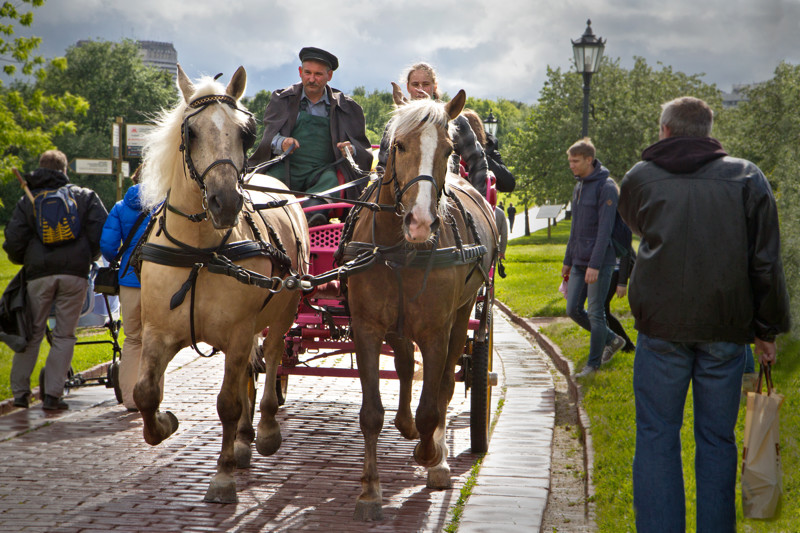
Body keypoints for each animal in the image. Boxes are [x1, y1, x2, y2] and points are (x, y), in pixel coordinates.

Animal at [134, 65, 310, 502]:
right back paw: (245, 437)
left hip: (283, 310)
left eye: (245, 133)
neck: (200, 252)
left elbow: (227, 402)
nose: (226, 202)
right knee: (252, 367)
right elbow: (145, 393)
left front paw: (223, 475)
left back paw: (265, 430)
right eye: (191, 132)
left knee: (275, 355)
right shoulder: (157, 331)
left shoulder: (237, 332)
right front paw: (165, 423)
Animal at [340, 88, 500, 520]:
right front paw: (369, 491)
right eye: (398, 145)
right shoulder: (367, 327)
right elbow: (372, 412)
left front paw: (431, 456)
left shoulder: (435, 331)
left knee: (445, 381)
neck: (399, 248)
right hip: (397, 325)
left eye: (448, 150)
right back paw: (406, 423)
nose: (421, 222)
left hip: (462, 315)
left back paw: (436, 453)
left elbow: (433, 403)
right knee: (405, 367)